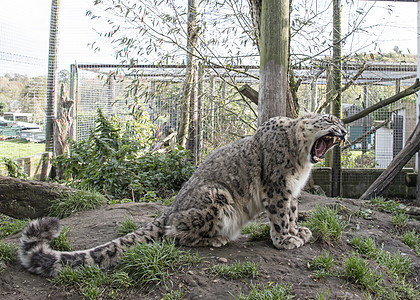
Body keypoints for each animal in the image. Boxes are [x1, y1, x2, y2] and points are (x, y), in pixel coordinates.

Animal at [18, 112, 348, 276]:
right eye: (331, 121)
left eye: (342, 123)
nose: (344, 132)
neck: (302, 161)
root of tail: (170, 208)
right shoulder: (277, 188)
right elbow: (279, 216)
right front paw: (285, 240)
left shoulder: (292, 192)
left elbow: (292, 214)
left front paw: (299, 231)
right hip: (218, 198)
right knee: (174, 233)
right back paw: (215, 239)